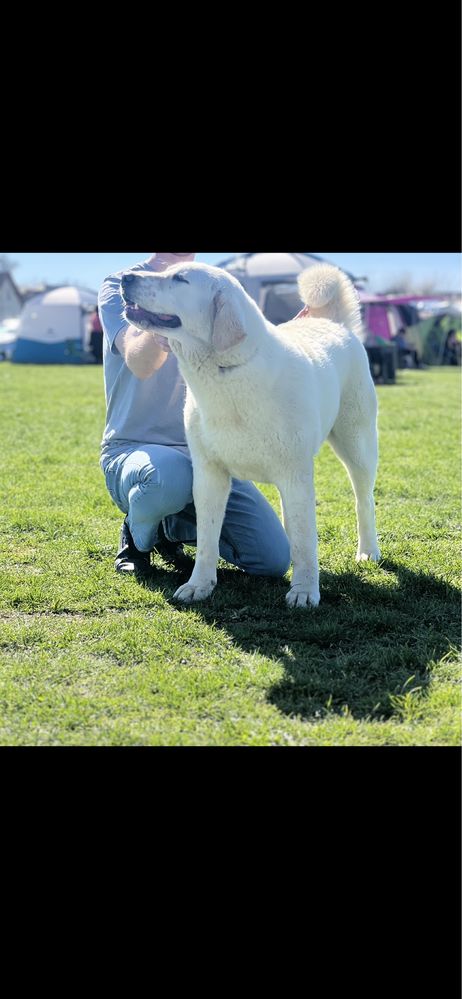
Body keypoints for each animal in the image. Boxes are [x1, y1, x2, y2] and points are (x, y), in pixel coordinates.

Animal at [121, 260, 380, 608]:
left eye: (180, 279)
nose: (125, 277)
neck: (225, 372)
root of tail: (334, 324)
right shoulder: (208, 476)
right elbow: (206, 539)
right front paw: (199, 585)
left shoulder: (296, 475)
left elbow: (305, 541)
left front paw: (304, 591)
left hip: (357, 447)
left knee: (363, 501)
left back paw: (368, 550)